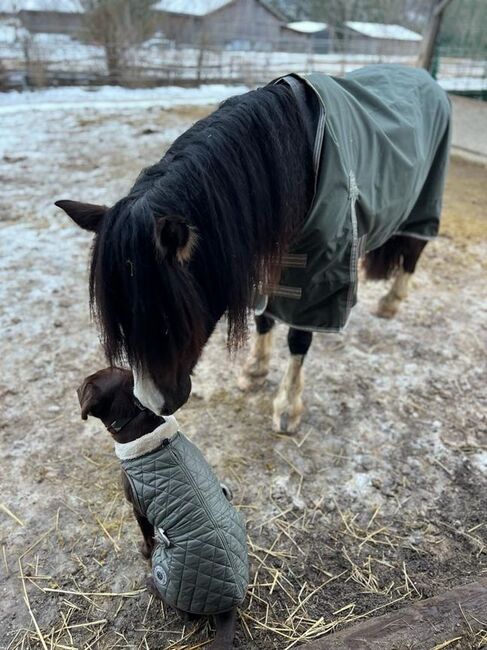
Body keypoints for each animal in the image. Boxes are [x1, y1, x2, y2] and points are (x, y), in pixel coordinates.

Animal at [57, 74, 434, 430]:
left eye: (166, 320)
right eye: (119, 323)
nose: (151, 404)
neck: (299, 151)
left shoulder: (319, 271)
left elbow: (299, 337)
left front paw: (287, 407)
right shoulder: (272, 255)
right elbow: (264, 318)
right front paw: (255, 371)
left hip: (422, 203)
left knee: (414, 251)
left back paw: (391, 302)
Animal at [77, 368, 238, 644]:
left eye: (88, 382)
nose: (76, 387)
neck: (137, 418)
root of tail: (226, 608)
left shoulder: (138, 507)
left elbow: (147, 535)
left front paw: (144, 550)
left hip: (168, 571)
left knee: (186, 614)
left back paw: (152, 584)